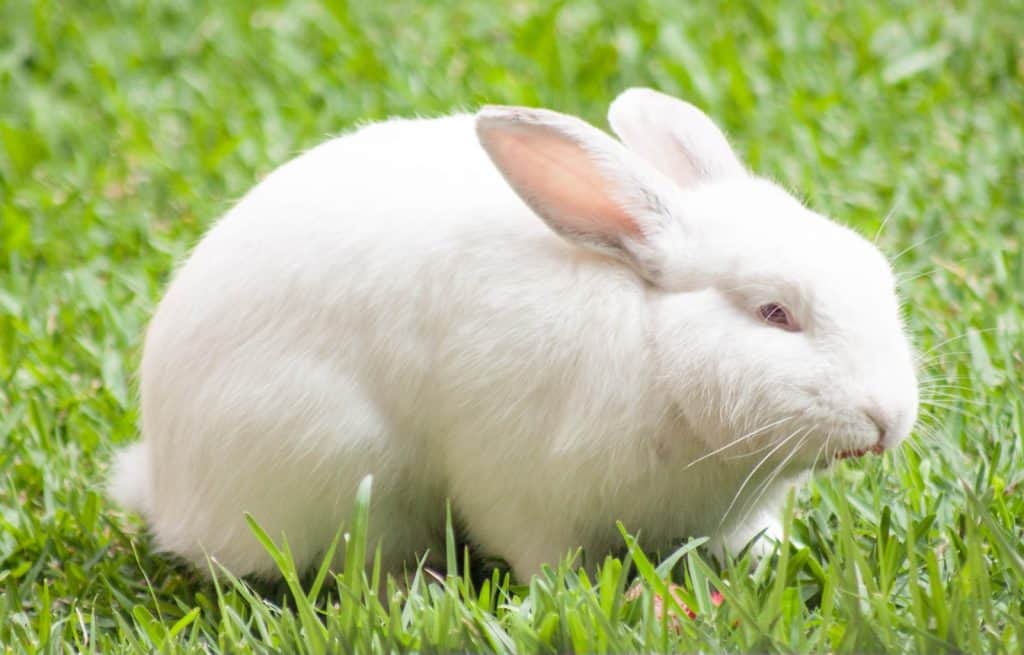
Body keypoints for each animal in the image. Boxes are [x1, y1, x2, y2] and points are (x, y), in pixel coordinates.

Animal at [110, 88, 921, 581]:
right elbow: (543, 557)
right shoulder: (524, 488)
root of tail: (169, 489)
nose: (887, 418)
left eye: (875, 272)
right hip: (344, 468)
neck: (654, 344)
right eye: (774, 313)